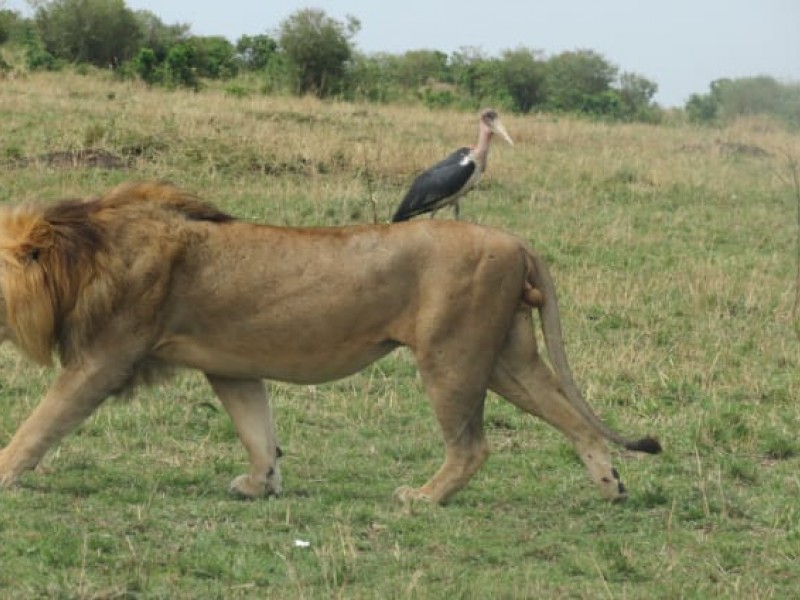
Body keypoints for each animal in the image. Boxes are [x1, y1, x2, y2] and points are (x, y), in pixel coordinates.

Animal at [0, 180, 660, 504]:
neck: (83, 248)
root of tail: (515, 239)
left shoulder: (104, 358)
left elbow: (39, 423)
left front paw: (4, 472)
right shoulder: (230, 365)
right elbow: (257, 430)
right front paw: (260, 485)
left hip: (451, 356)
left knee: (472, 446)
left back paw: (423, 498)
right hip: (505, 357)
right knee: (572, 417)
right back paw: (610, 486)